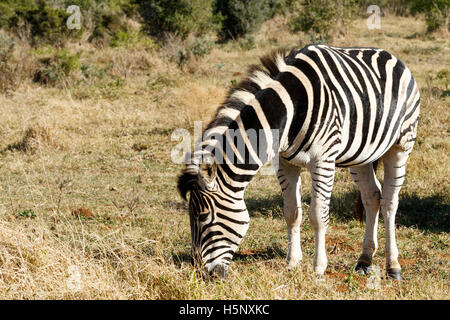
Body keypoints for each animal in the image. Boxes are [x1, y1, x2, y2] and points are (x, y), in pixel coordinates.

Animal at [178, 44, 420, 280]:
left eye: (202, 217)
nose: (199, 273)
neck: (290, 111)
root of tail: (390, 54)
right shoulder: (285, 163)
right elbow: (292, 213)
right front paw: (292, 263)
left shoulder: (323, 160)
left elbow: (318, 215)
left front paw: (318, 269)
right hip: (360, 155)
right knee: (372, 197)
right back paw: (364, 261)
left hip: (401, 144)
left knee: (390, 201)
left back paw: (393, 266)